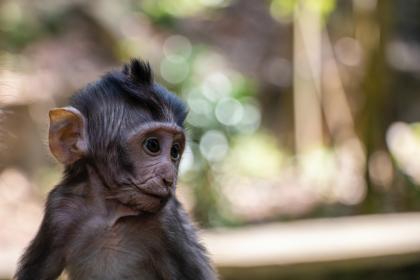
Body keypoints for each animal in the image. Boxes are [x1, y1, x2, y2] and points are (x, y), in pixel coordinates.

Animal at [13, 59, 217, 280]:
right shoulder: (58, 210)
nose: (169, 178)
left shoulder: (167, 220)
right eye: (153, 145)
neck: (110, 212)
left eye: (175, 151)